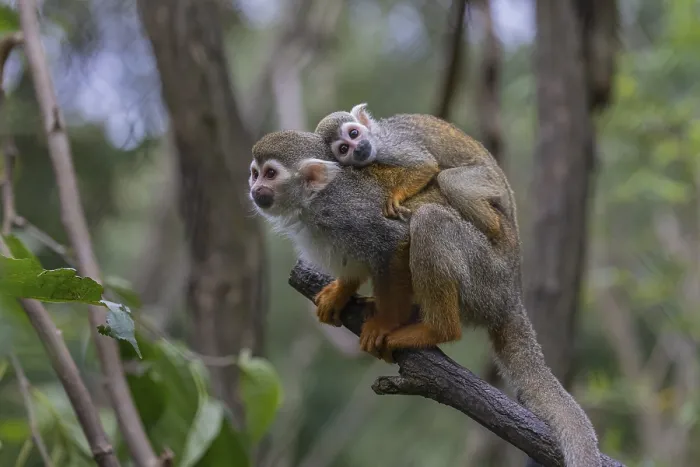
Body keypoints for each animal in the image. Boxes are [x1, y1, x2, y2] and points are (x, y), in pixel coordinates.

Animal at [248, 129, 601, 467]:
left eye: (270, 174)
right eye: (254, 173)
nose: (254, 189)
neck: (315, 201)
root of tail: (510, 295)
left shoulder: (350, 210)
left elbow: (394, 243)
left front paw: (385, 323)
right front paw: (342, 291)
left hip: (483, 279)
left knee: (430, 221)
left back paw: (435, 329)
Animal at [315, 103, 512, 243]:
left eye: (354, 133)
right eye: (344, 149)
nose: (359, 148)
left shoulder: (388, 145)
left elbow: (426, 164)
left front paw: (396, 196)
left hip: (489, 178)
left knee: (450, 181)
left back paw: (492, 228)